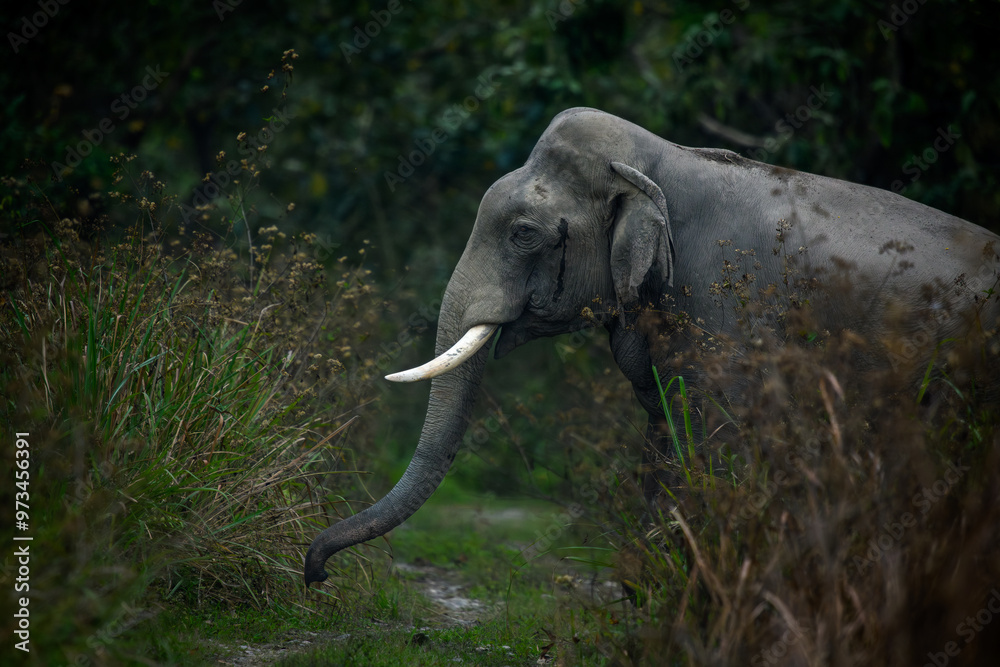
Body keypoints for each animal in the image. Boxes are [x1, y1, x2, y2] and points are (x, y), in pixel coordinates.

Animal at [305, 107, 1000, 586]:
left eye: (524, 234)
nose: (317, 573)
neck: (661, 161)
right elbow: (665, 432)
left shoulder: (726, 304)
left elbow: (716, 436)